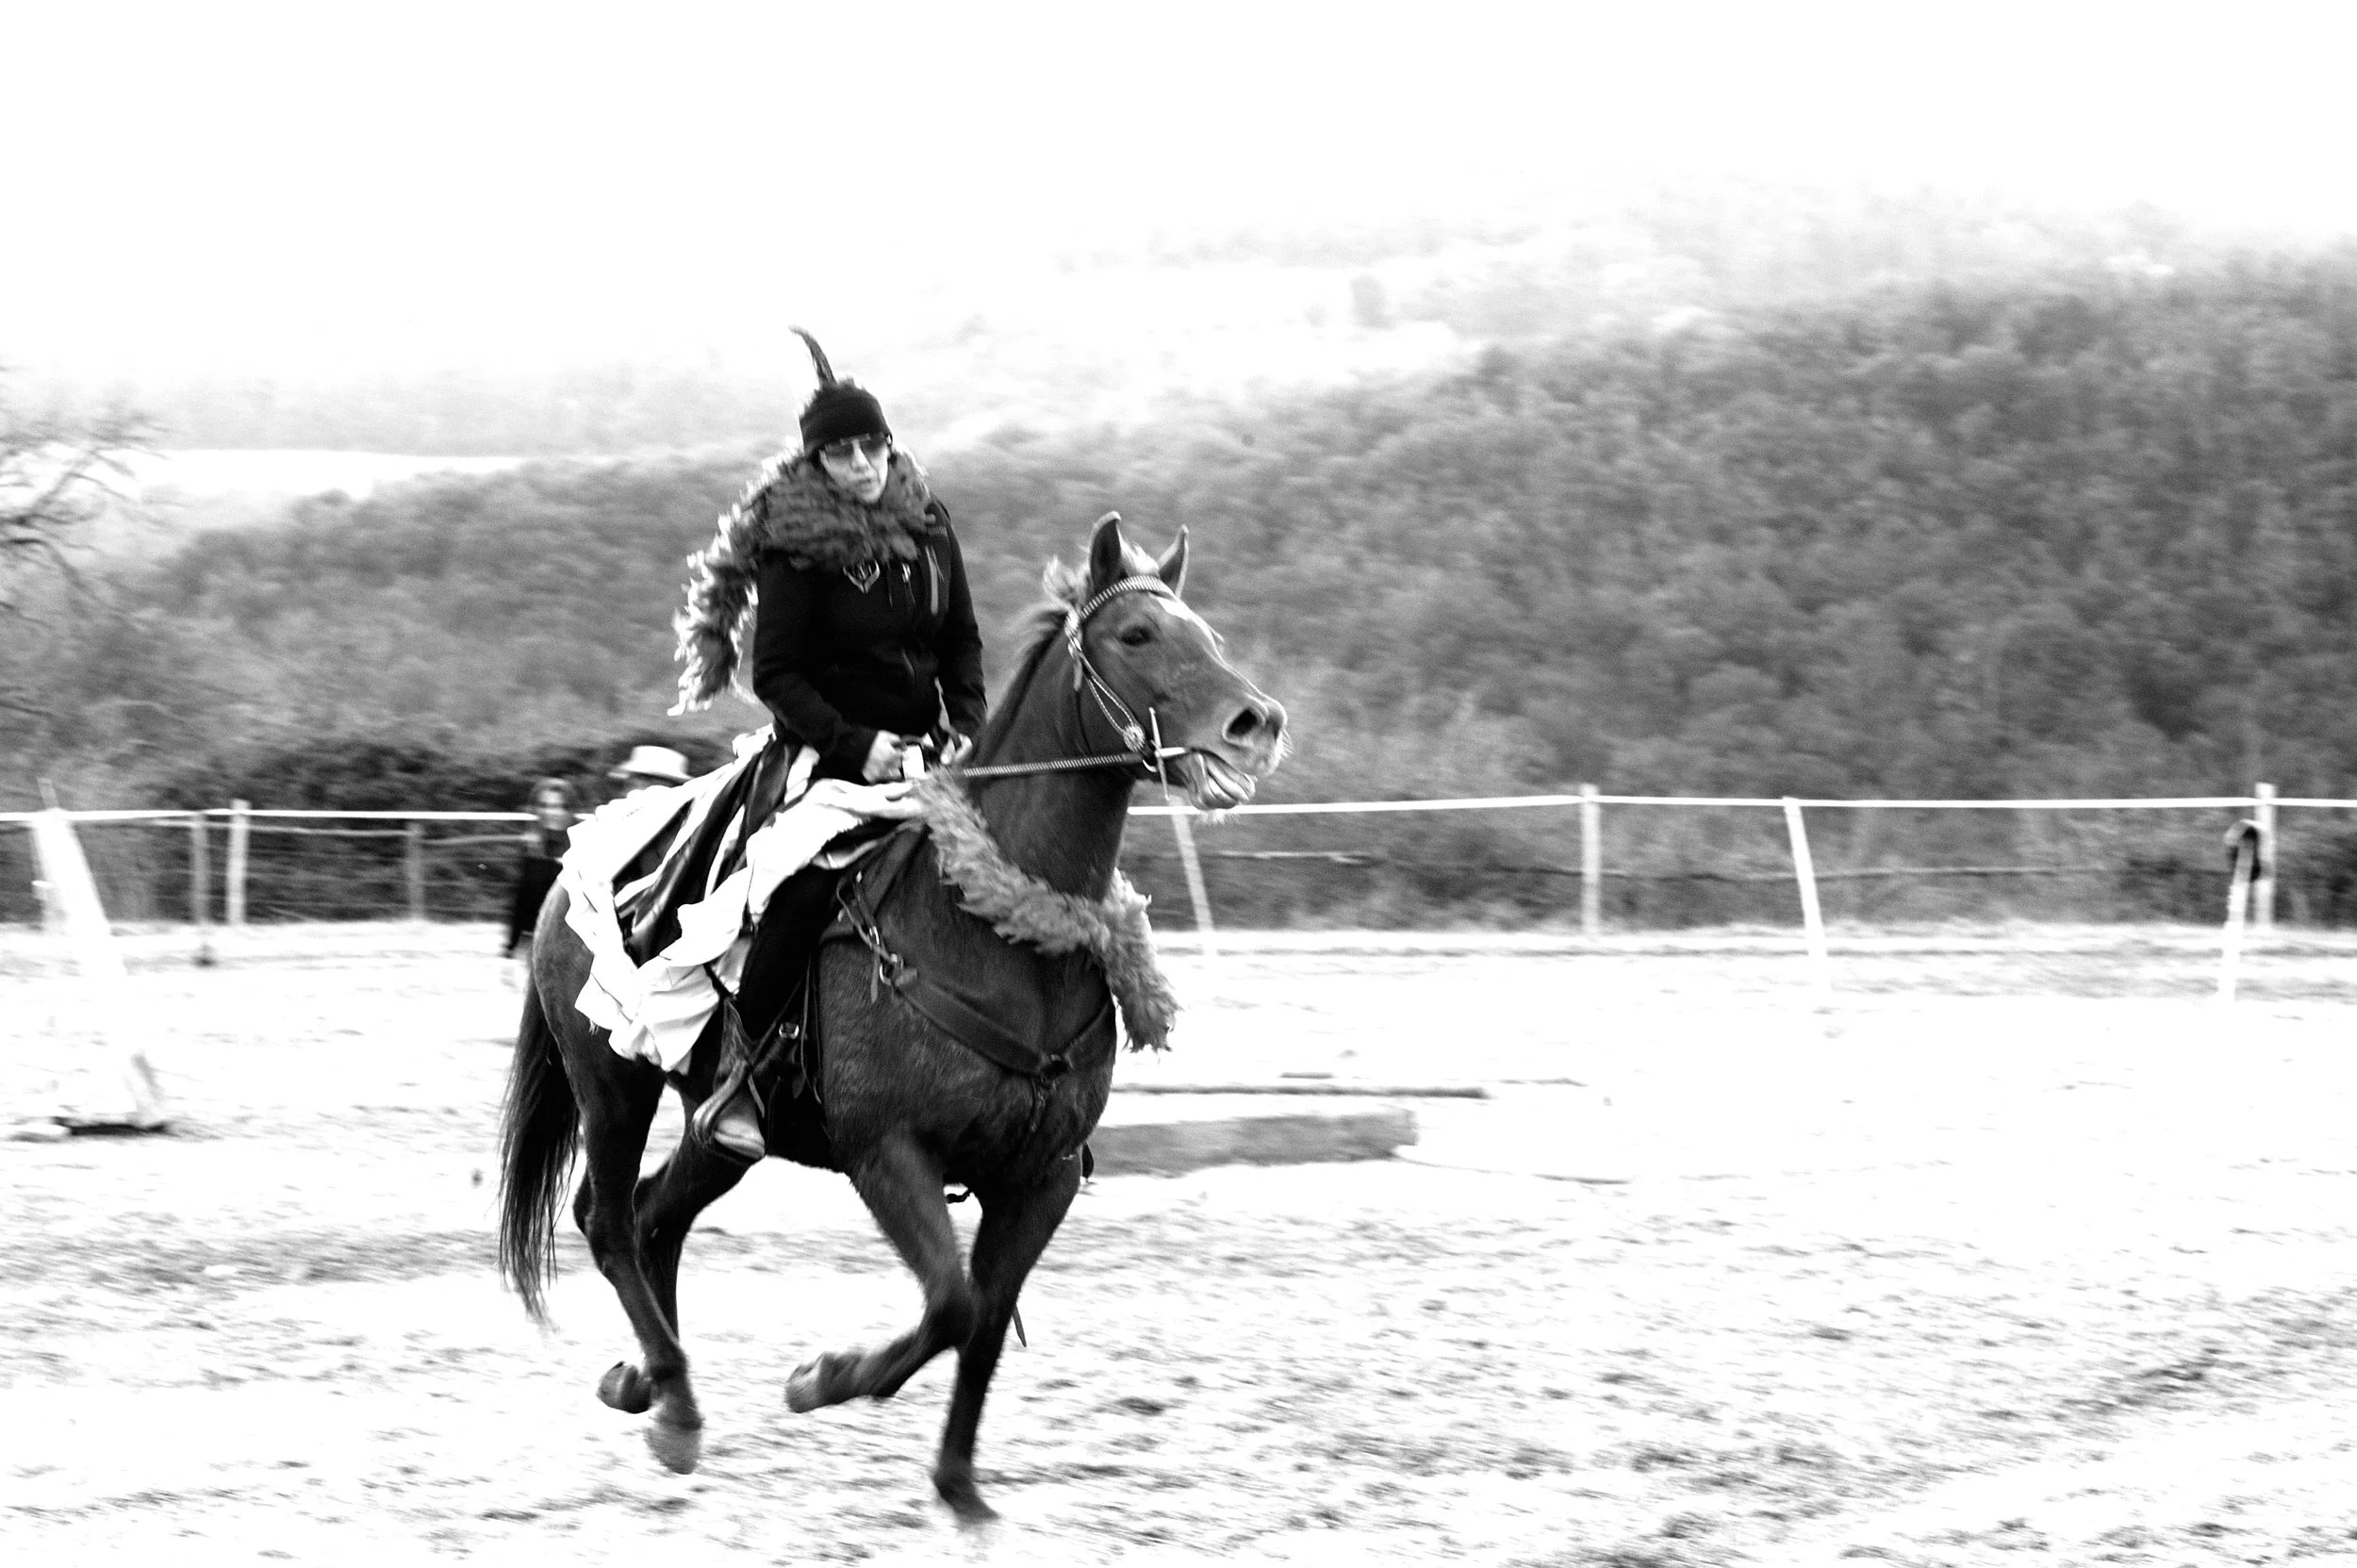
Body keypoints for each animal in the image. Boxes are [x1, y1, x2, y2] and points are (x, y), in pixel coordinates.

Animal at [497, 512, 1287, 1521]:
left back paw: (651, 1380)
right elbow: (953, 1302)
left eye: (1209, 635)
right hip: (613, 1087)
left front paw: (960, 1487)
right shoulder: (889, 1151)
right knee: (607, 1219)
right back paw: (673, 1404)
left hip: (723, 1130)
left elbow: (982, 1320)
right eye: (1137, 635)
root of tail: (572, 867)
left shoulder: (1042, 1177)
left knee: (650, 1216)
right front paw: (825, 1377)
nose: (1257, 724)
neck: (996, 926)